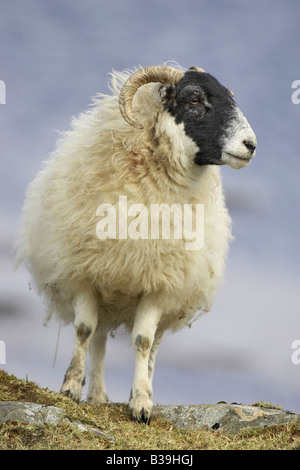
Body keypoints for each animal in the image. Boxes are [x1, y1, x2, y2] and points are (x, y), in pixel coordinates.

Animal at [16, 65, 255, 422]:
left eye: (230, 96)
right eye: (194, 99)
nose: (250, 144)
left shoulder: (159, 284)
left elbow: (142, 341)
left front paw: (141, 403)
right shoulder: (85, 272)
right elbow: (84, 330)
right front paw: (70, 387)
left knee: (151, 346)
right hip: (107, 290)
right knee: (99, 338)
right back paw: (96, 394)